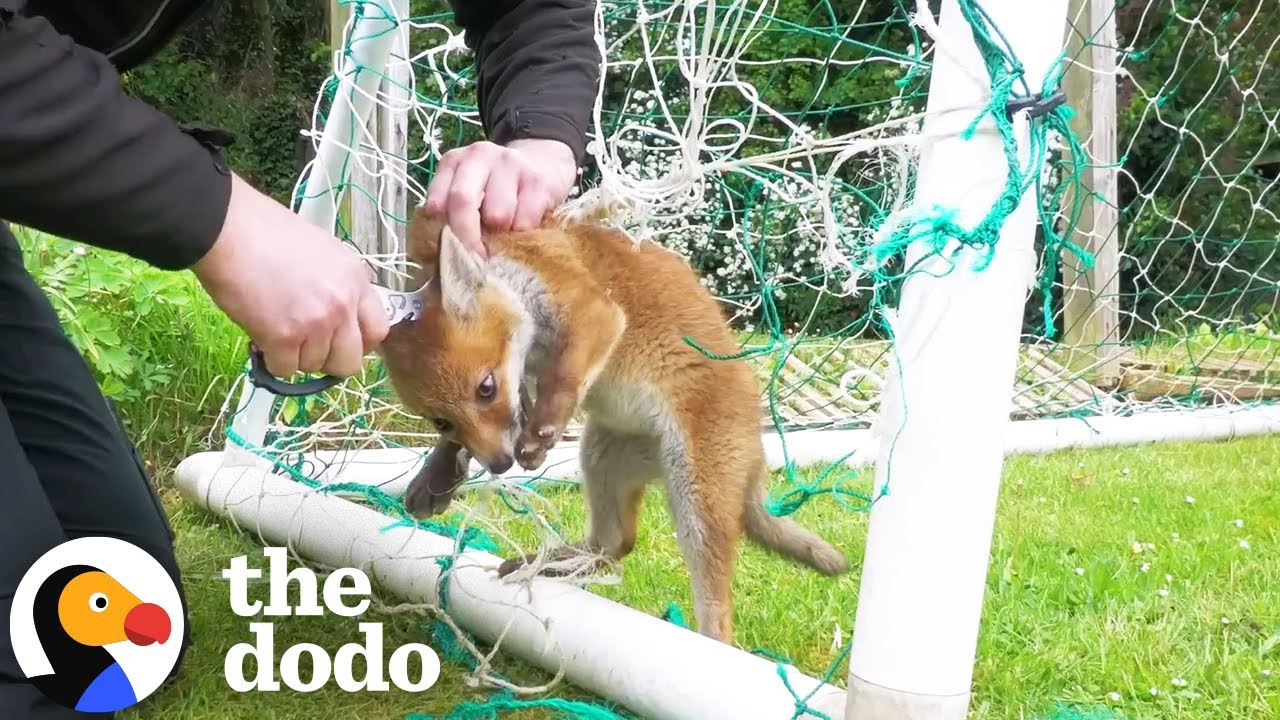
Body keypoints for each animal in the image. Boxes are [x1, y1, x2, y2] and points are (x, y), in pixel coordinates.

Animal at [377, 206, 849, 643]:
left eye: (486, 388)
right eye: (442, 421)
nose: (499, 465)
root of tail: (756, 441)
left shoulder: (591, 311)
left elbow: (565, 377)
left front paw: (542, 430)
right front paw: (438, 476)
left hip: (694, 501)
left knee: (712, 609)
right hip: (600, 458)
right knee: (615, 545)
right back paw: (548, 563)